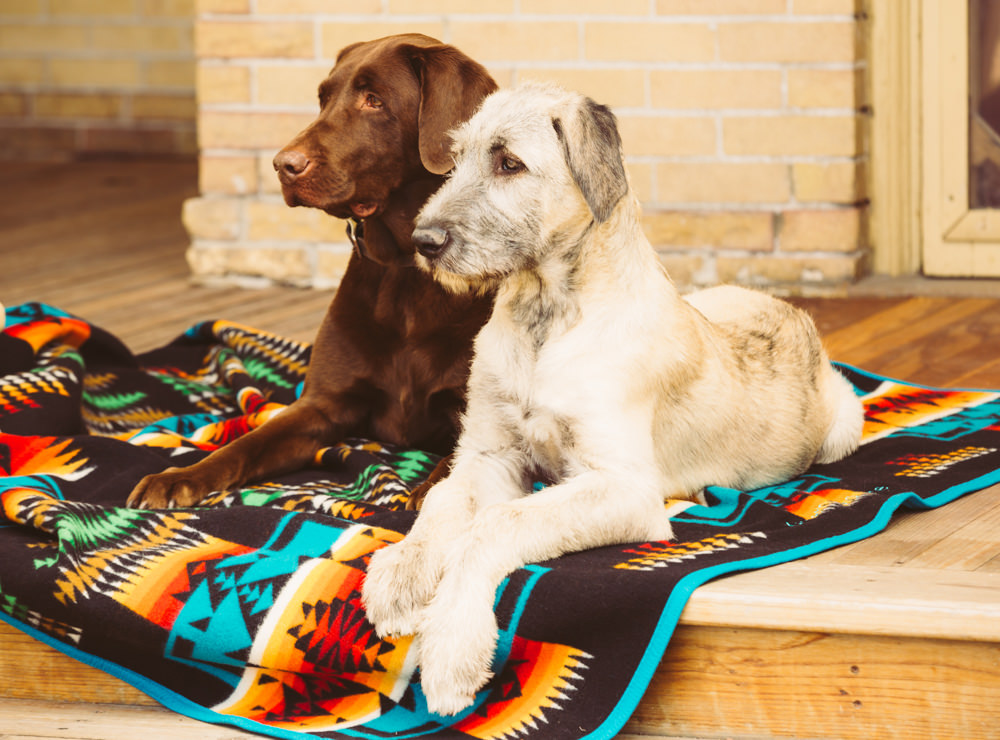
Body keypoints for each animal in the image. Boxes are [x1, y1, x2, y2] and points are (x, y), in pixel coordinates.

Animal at [129, 34, 496, 508]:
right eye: (323, 99)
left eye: (374, 100)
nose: (283, 165)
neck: (404, 270)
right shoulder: (321, 407)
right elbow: (246, 444)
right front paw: (179, 476)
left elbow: (462, 455)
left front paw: (435, 492)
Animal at [362, 82, 868, 716]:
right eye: (455, 160)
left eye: (509, 163)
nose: (423, 242)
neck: (546, 315)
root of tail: (790, 309)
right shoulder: (489, 454)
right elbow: (443, 500)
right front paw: (402, 571)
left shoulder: (623, 488)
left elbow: (498, 523)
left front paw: (454, 641)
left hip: (843, 422)